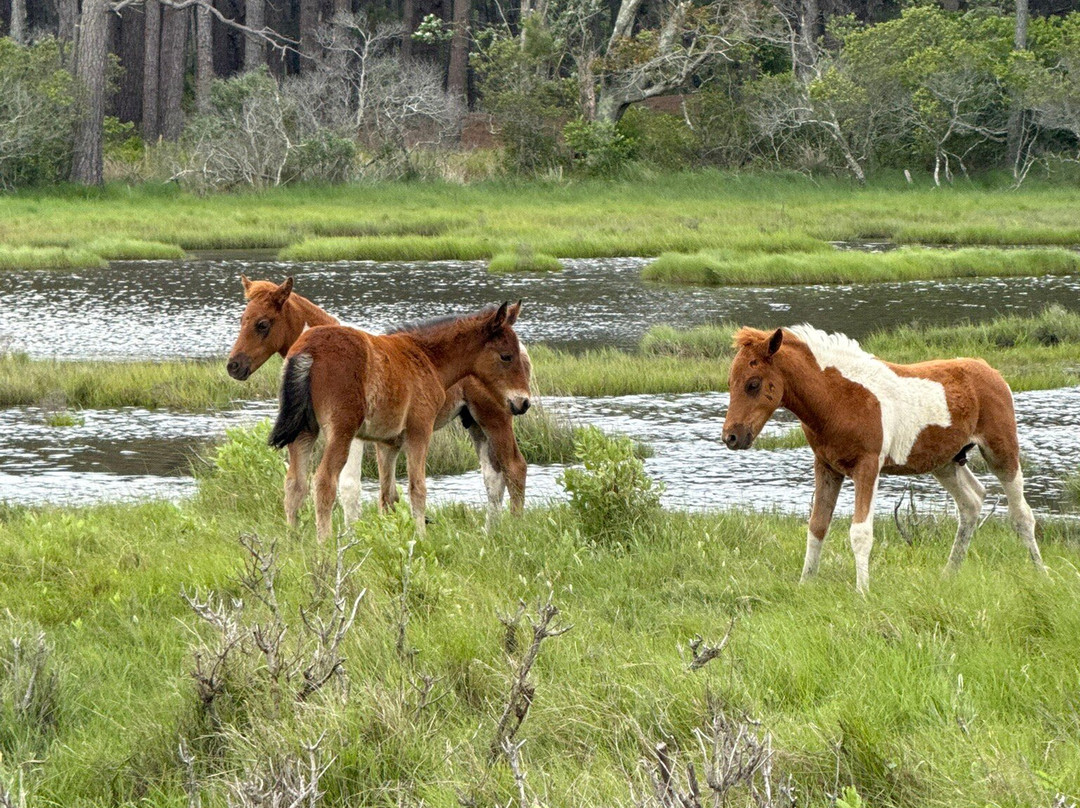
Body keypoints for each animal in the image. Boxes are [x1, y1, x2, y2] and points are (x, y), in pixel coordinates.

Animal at [226, 276, 531, 526]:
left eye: (262, 324)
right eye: (242, 319)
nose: (234, 365)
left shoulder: (360, 436)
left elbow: (353, 488)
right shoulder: (383, 439)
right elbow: (385, 493)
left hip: (493, 417)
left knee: (514, 468)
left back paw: (511, 529)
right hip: (474, 422)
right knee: (494, 477)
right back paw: (490, 532)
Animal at [722, 324, 1046, 593]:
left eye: (753, 383)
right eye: (730, 382)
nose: (731, 437)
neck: (838, 399)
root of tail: (990, 370)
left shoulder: (867, 466)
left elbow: (861, 532)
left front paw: (862, 592)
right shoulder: (826, 466)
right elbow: (817, 526)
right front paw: (805, 584)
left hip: (1000, 451)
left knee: (1021, 514)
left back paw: (1040, 572)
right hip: (946, 462)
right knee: (972, 501)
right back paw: (949, 574)